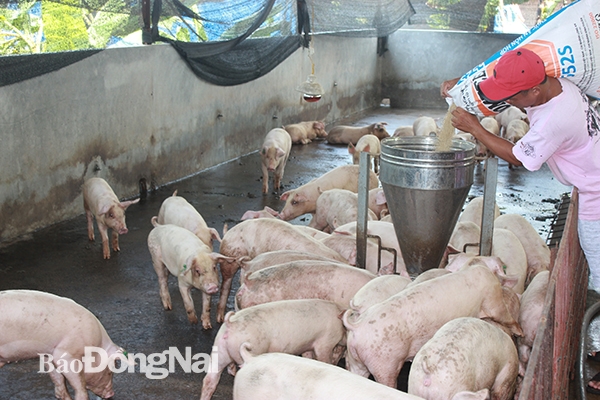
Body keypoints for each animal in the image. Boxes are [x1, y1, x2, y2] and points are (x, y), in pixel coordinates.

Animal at [199, 298, 344, 400]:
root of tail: (230, 324)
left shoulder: (307, 345)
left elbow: (307, 354)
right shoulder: (325, 342)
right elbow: (323, 357)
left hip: (218, 350)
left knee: (210, 379)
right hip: (251, 347)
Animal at [344, 266, 524, 388]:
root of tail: (357, 326)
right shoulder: (492, 298)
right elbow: (504, 315)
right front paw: (520, 332)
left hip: (356, 358)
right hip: (385, 362)